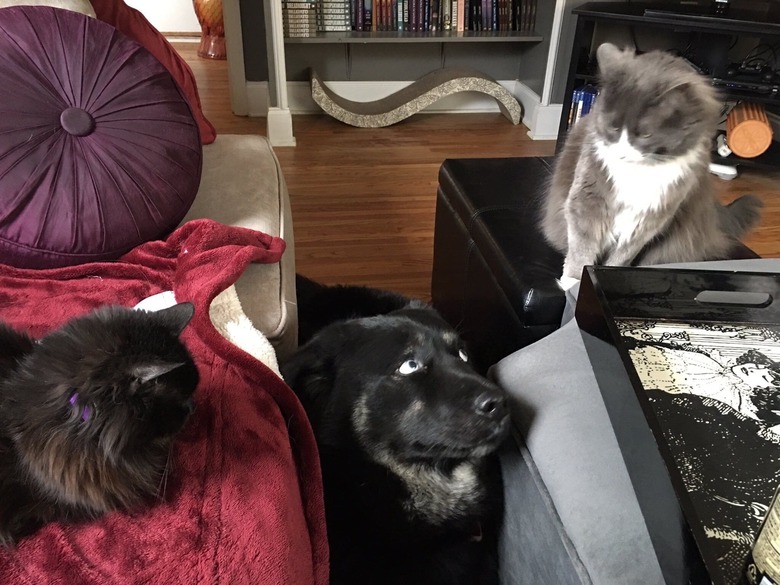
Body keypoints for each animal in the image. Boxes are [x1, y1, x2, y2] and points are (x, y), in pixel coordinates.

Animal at [544, 42, 760, 280]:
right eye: (613, 128)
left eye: (646, 135)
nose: (622, 152)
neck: (641, 171)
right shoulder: (588, 200)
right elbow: (583, 247)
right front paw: (572, 281)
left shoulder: (650, 219)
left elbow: (622, 255)